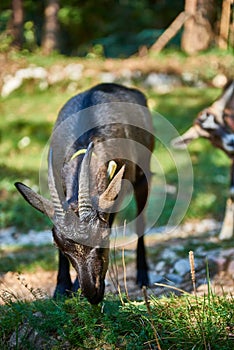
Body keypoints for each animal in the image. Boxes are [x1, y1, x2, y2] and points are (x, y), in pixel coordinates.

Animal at [14, 82, 154, 304]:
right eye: (61, 247)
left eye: (104, 239)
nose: (92, 293)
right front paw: (61, 288)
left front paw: (75, 288)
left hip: (143, 173)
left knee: (141, 220)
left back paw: (143, 276)